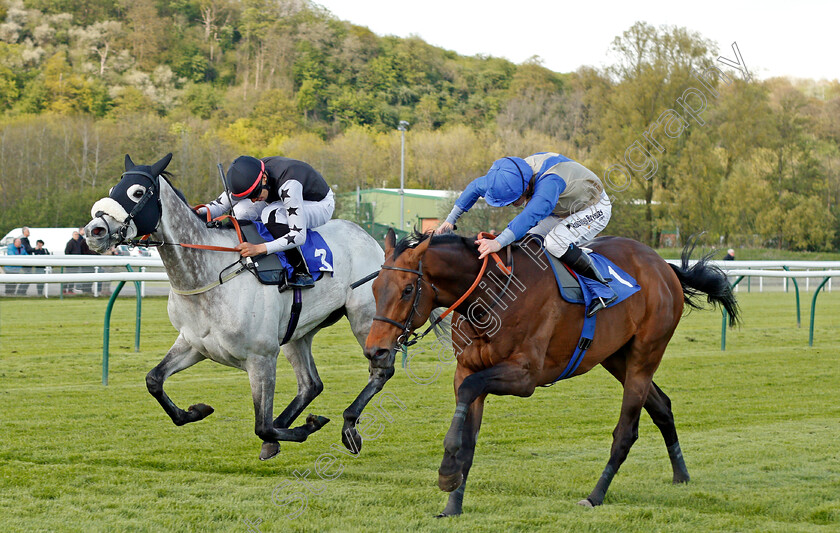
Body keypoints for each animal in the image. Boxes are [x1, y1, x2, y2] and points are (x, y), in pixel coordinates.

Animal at [85, 153, 388, 458]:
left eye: (137, 192)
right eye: (113, 189)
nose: (93, 231)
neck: (208, 276)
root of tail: (369, 237)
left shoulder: (262, 357)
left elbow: (262, 426)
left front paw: (308, 426)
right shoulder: (195, 343)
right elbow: (154, 380)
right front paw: (196, 410)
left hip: (365, 318)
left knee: (380, 370)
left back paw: (349, 425)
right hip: (297, 332)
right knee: (310, 384)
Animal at [364, 229, 740, 516]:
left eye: (407, 290)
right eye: (375, 287)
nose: (374, 350)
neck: (492, 296)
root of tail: (664, 266)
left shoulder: (525, 376)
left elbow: (471, 392)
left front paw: (445, 471)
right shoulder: (468, 367)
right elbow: (468, 432)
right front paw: (453, 503)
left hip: (645, 356)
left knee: (626, 432)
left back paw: (595, 496)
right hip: (616, 357)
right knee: (662, 406)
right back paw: (681, 475)